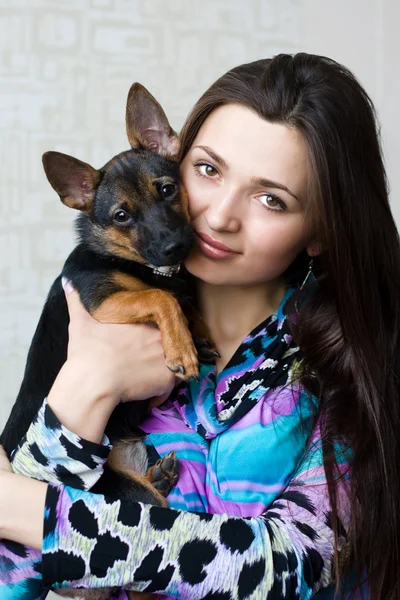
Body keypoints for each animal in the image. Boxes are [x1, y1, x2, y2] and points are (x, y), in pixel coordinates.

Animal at [0, 83, 216, 584]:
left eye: (168, 190)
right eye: (121, 216)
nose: (176, 247)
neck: (145, 267)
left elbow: (180, 299)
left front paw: (198, 333)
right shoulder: (103, 302)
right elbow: (161, 298)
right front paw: (183, 346)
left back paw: (160, 475)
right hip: (126, 501)